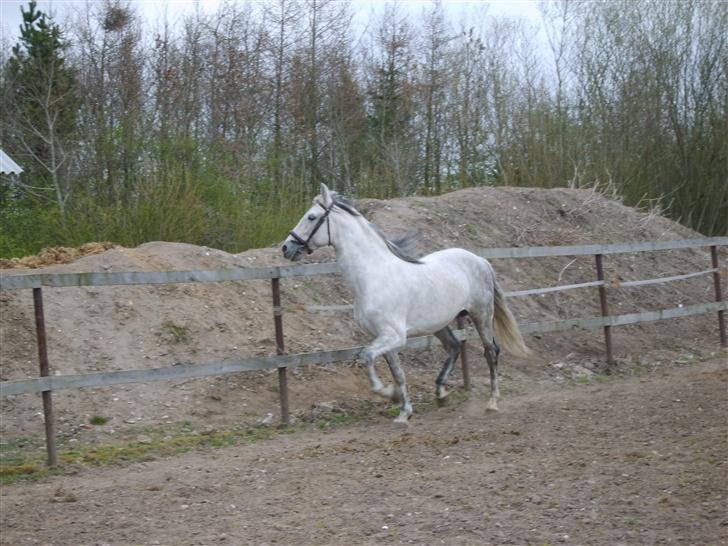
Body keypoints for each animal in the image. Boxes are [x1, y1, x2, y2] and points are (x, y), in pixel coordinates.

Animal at [282, 183, 528, 420]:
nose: (287, 248)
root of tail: (480, 260)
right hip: (439, 323)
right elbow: (397, 373)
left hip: (482, 315)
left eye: (311, 217)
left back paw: (492, 403)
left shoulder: (394, 336)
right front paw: (403, 411)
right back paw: (441, 394)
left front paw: (388, 394)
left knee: (491, 351)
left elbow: (366, 357)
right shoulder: (383, 337)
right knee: (455, 346)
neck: (373, 277)